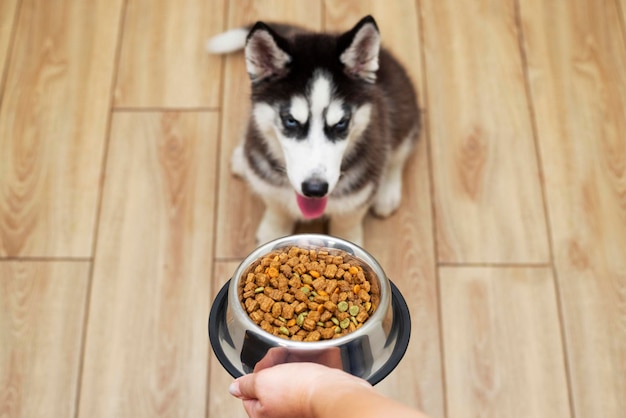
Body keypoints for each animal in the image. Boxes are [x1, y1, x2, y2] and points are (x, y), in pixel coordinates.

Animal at [207, 15, 416, 245]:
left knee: (398, 154)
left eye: (341, 123)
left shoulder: (360, 191)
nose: (315, 190)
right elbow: (276, 207)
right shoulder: (269, 185)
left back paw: (387, 192)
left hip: (404, 112)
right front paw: (273, 232)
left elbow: (348, 222)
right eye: (291, 121)